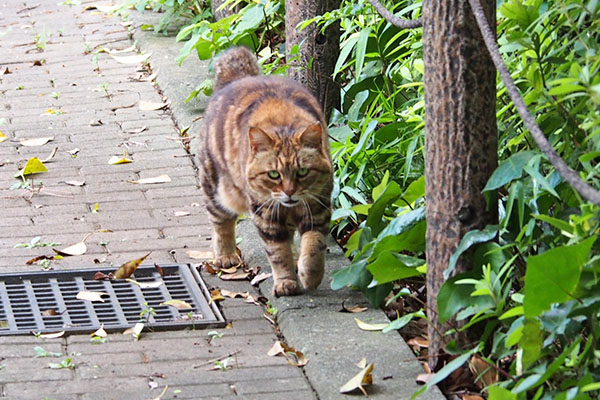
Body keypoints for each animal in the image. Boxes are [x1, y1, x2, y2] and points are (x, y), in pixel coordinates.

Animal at [199, 47, 336, 296]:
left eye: (302, 171)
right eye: (273, 174)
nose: (289, 192)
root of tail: (239, 78)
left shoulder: (318, 208)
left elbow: (313, 246)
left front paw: (310, 274)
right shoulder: (266, 214)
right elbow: (277, 252)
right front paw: (286, 281)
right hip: (217, 189)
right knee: (221, 222)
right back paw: (226, 255)